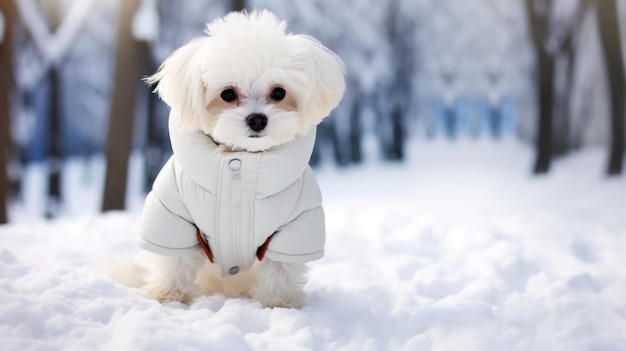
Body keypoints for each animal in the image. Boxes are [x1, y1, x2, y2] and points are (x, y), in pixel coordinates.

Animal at [114, 9, 344, 310]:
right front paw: (169, 297)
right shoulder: (174, 215)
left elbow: (282, 267)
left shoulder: (296, 223)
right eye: (227, 94)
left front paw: (278, 303)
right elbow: (175, 258)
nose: (257, 119)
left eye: (279, 92)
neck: (240, 160)